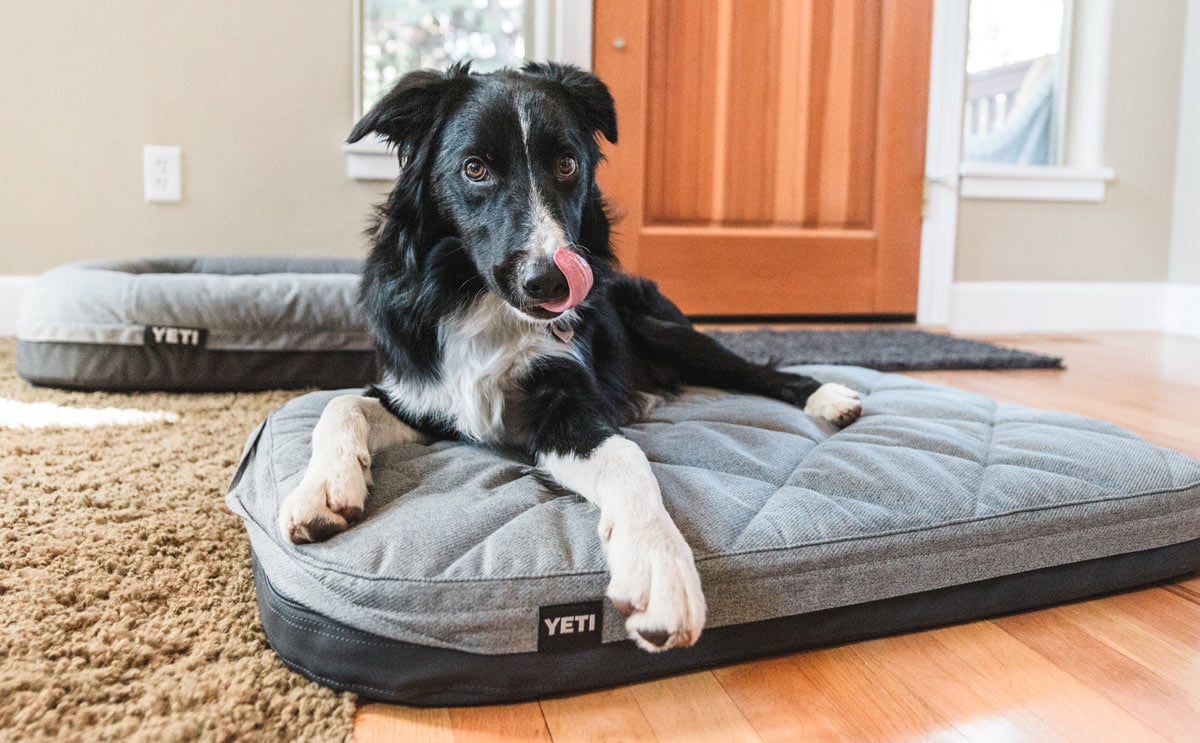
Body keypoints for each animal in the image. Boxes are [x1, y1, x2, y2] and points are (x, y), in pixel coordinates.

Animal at [278, 62, 864, 652]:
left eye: (567, 164)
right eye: (474, 169)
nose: (552, 283)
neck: (482, 302)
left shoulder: (562, 403)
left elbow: (625, 457)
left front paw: (658, 565)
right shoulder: (422, 395)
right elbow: (339, 406)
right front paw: (323, 489)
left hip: (668, 332)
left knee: (762, 371)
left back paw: (829, 397)